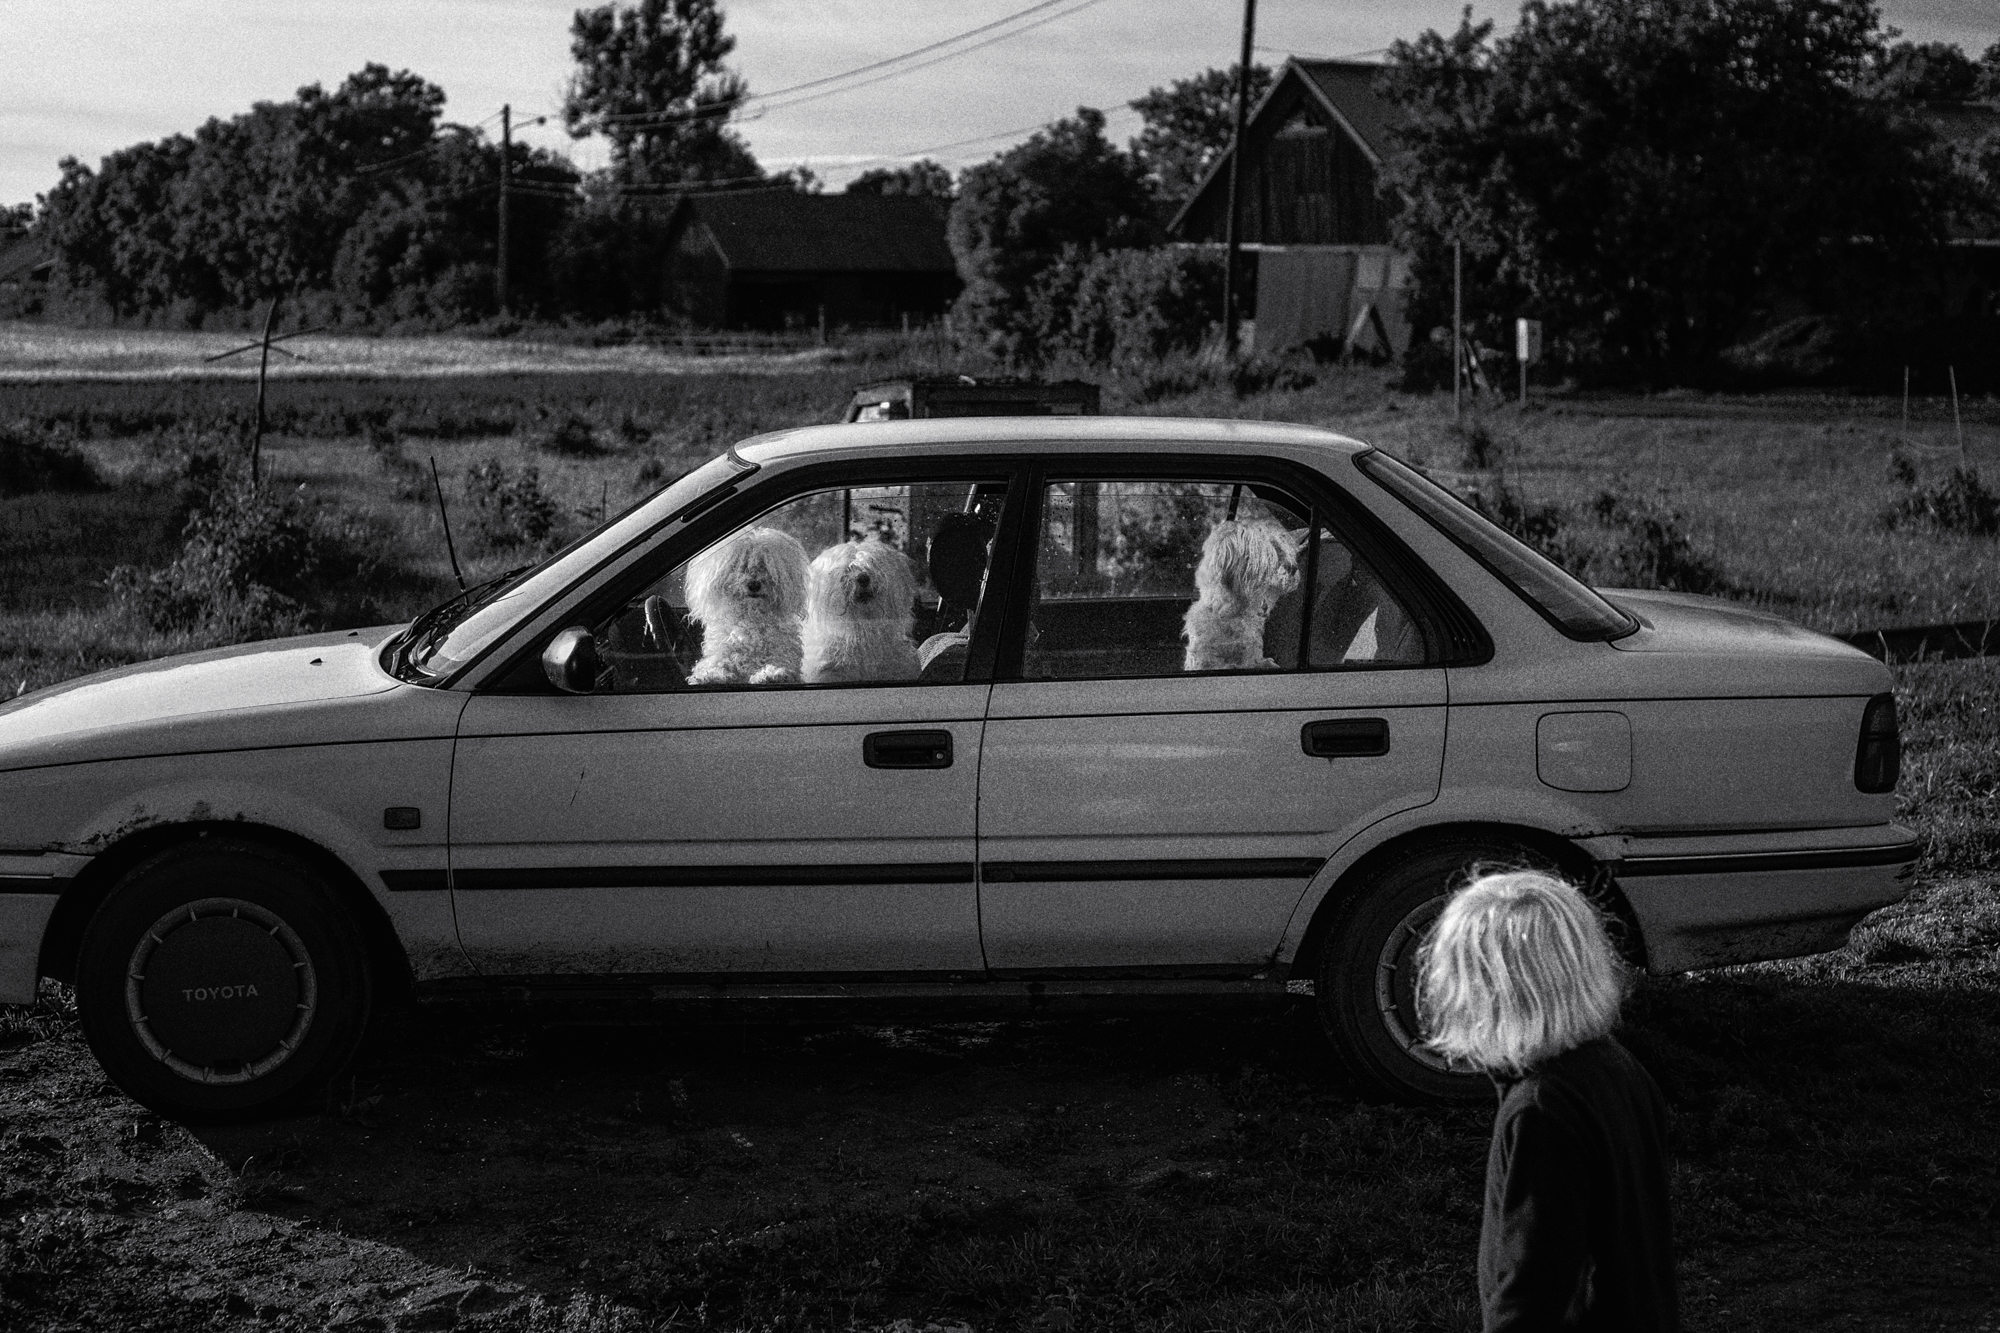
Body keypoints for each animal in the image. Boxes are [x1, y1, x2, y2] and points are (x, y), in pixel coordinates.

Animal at [683, 526, 810, 685]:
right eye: (739, 564)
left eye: (765, 564)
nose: (754, 585)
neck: (751, 616)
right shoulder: (721, 650)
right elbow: (716, 663)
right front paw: (710, 675)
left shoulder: (783, 653)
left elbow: (781, 663)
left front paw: (771, 673)